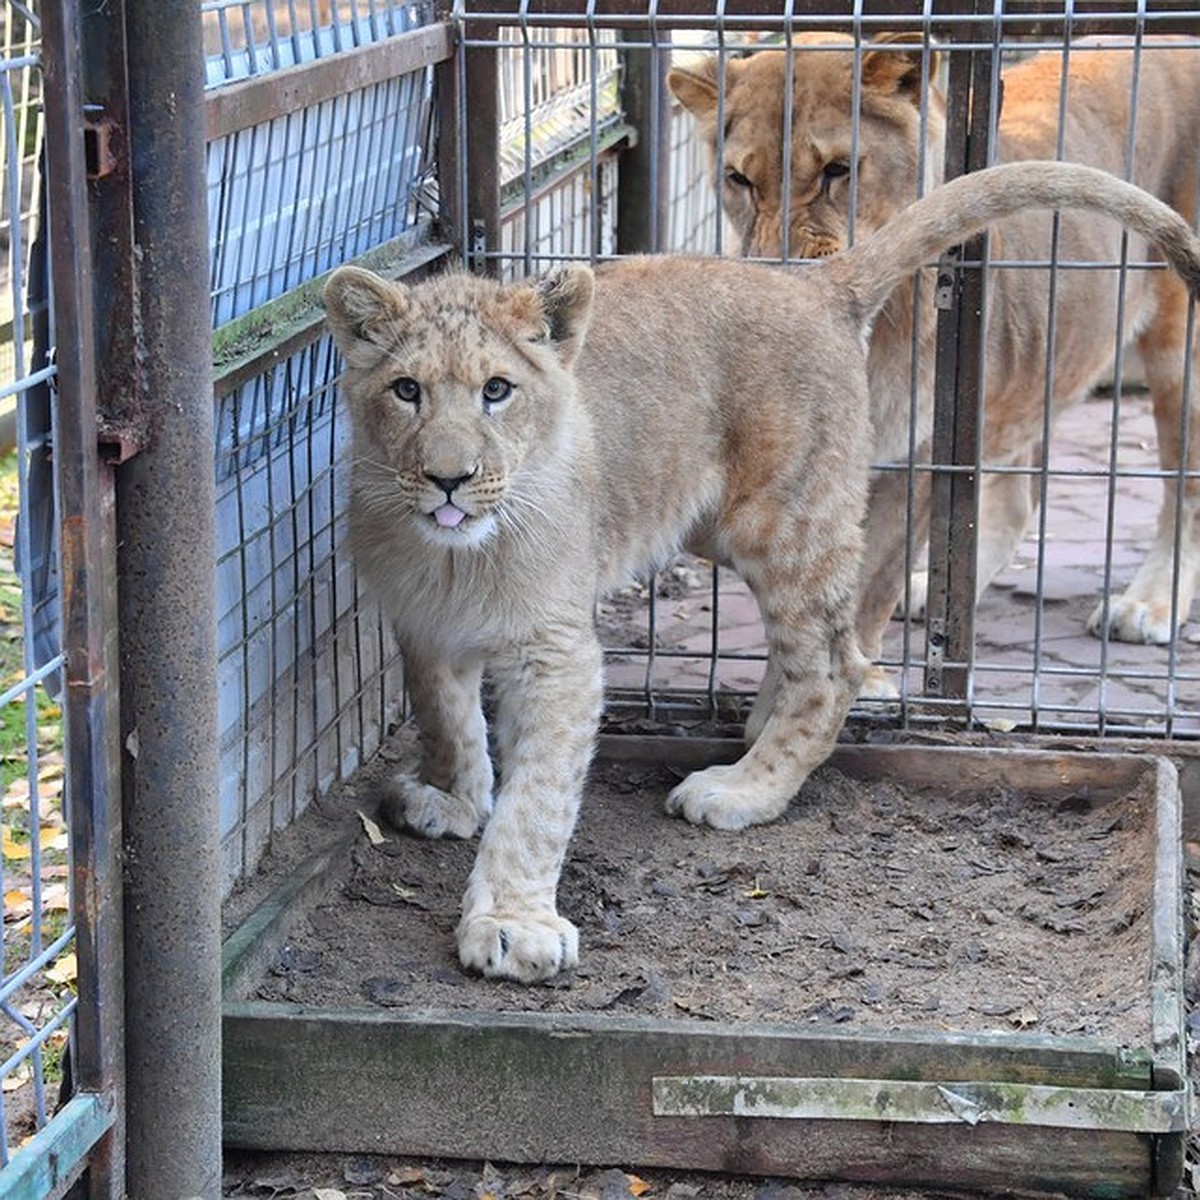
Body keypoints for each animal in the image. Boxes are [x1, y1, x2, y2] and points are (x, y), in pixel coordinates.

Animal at [672, 35, 1200, 676]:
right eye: (738, 178)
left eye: (837, 170)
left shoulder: (922, 446)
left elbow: (871, 577)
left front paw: (861, 675)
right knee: (1015, 500)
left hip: (1180, 352)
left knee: (1185, 491)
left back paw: (1149, 603)